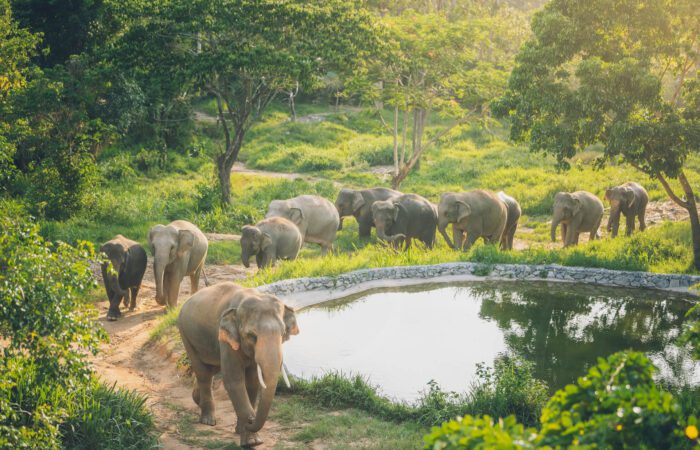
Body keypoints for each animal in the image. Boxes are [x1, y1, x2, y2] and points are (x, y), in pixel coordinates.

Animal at [178, 282, 298, 446]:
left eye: (283, 333)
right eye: (252, 336)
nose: (251, 419)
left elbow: (253, 382)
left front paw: (242, 430)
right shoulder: (226, 338)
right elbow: (234, 381)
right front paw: (252, 441)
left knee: (211, 369)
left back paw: (197, 399)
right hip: (185, 334)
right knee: (203, 373)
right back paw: (208, 421)